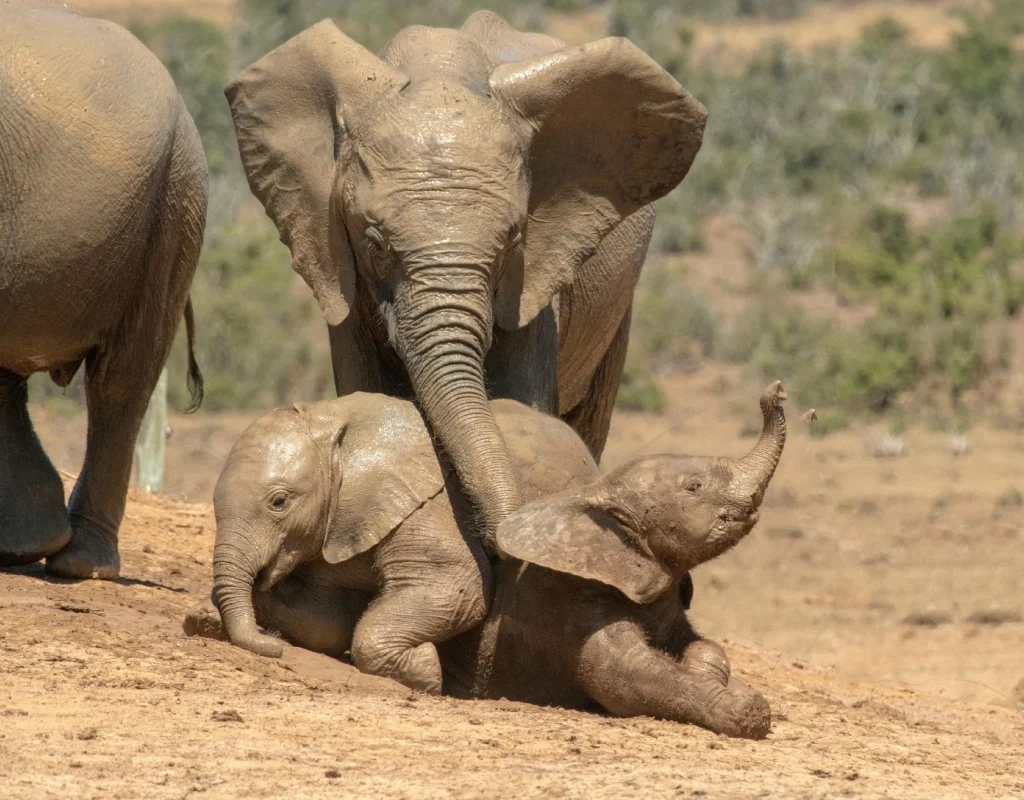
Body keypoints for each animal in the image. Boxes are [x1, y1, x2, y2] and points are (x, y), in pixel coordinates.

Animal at [209, 393, 598, 692]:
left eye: (279, 502)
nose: (274, 645)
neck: (333, 419)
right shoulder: (338, 525)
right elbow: (327, 621)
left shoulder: (429, 504)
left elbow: (460, 586)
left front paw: (425, 670)